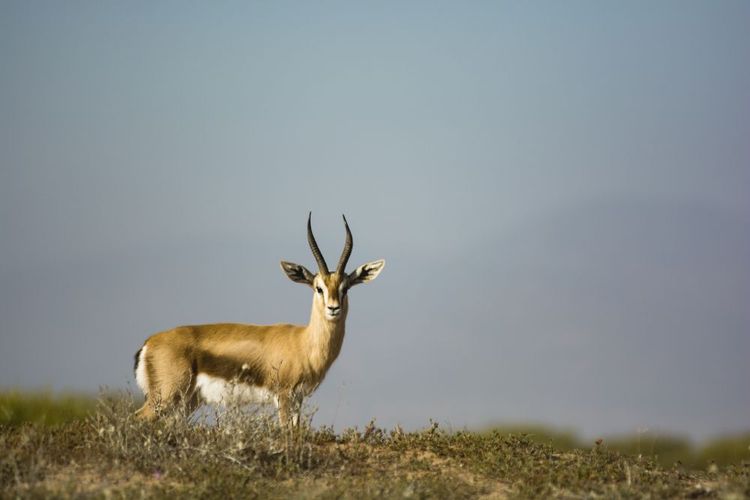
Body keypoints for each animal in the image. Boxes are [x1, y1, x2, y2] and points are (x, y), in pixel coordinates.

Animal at [133, 213, 385, 426]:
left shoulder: (298, 399)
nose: (333, 308)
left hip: (186, 402)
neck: (303, 342)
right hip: (165, 398)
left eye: (345, 288)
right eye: (318, 288)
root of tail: (148, 344)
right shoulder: (284, 395)